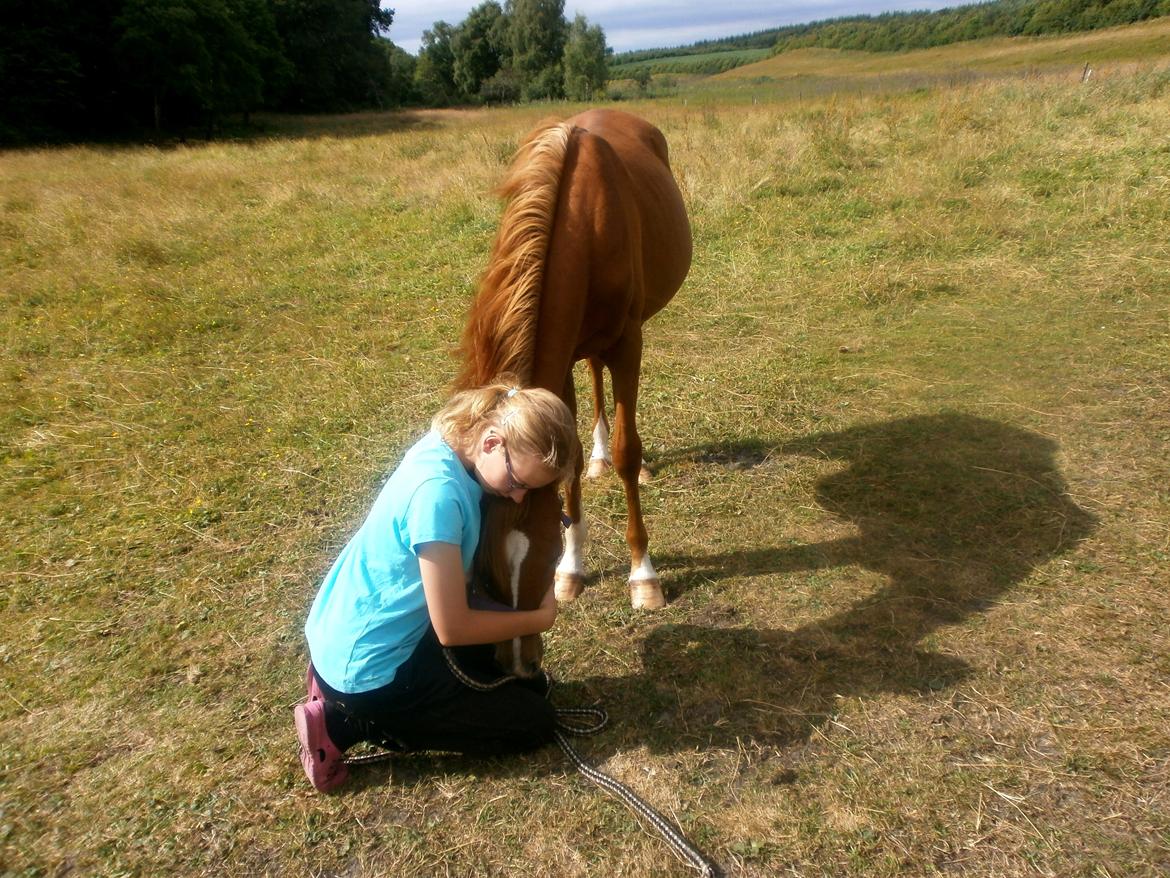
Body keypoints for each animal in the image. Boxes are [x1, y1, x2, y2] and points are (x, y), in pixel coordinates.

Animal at [453, 108, 692, 674]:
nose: (516, 661)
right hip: (586, 347)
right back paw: (599, 460)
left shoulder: (628, 342)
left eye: (539, 556)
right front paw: (575, 568)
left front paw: (643, 576)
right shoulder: (562, 357)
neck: (585, 219)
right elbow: (571, 453)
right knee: (596, 384)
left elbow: (629, 448)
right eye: (483, 569)